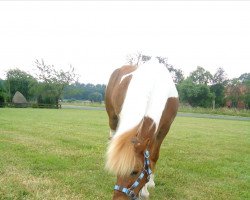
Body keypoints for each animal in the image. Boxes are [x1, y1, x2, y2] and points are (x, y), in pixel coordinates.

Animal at [104, 57, 179, 199]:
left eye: (135, 171)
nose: (118, 198)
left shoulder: (164, 130)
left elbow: (152, 157)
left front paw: (147, 187)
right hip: (112, 117)